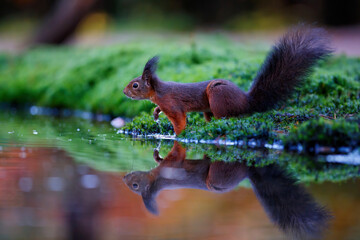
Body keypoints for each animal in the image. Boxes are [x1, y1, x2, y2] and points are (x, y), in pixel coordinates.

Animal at [124, 27, 332, 135]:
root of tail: (247, 102)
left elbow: (180, 120)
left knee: (225, 118)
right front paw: (155, 112)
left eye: (135, 85)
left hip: (217, 95)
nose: (124, 92)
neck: (158, 92)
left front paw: (177, 135)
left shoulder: (173, 105)